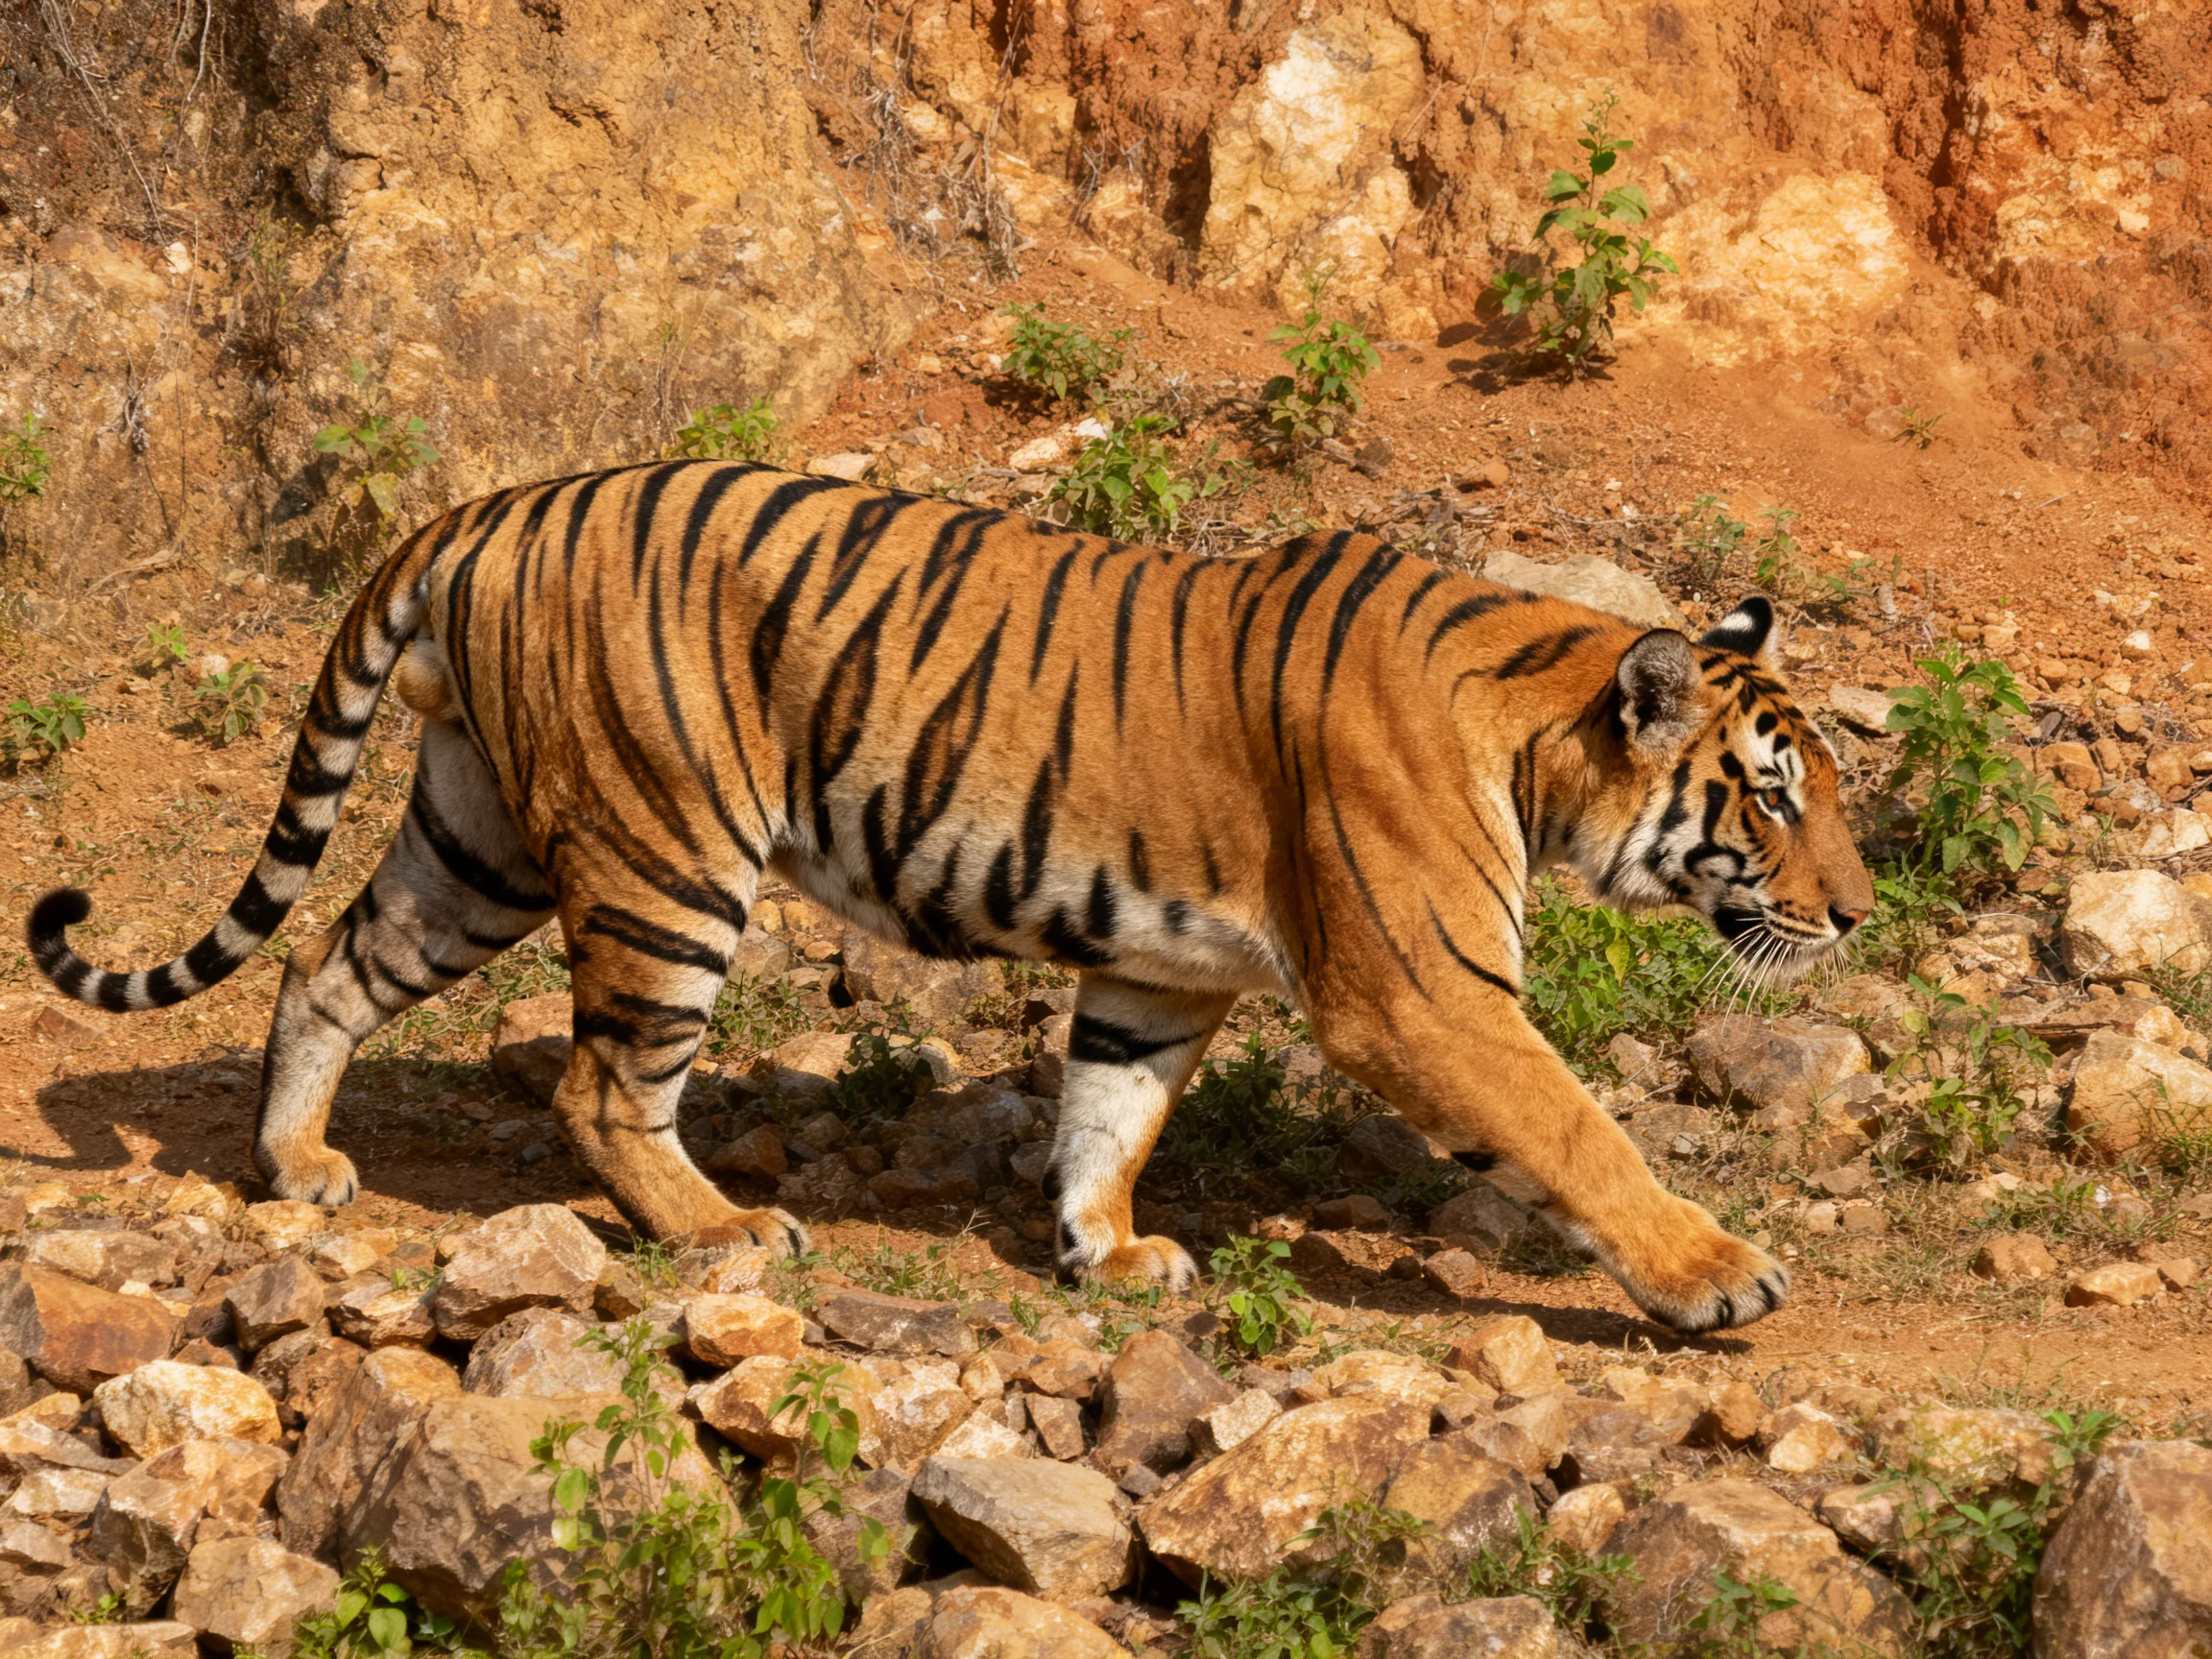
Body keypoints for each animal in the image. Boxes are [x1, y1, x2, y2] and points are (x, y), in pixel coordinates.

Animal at [29, 459, 1873, 1333]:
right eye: (1772, 794)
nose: (1855, 914)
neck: (1538, 725)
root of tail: (481, 507)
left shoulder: (1163, 970)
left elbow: (1108, 1110)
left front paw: (1101, 1253)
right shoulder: (1422, 991)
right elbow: (1576, 1131)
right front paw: (1717, 1272)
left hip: (473, 842)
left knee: (323, 967)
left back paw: (295, 1165)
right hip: (664, 856)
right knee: (600, 1084)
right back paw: (719, 1231)